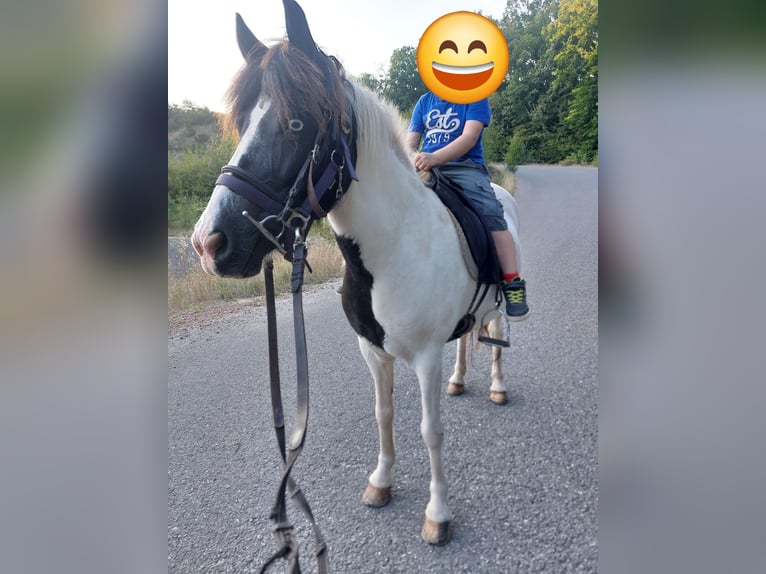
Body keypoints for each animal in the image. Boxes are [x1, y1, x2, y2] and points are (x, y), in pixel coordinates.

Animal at [195, 0, 524, 548]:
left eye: (297, 124)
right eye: (241, 122)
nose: (208, 243)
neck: (392, 249)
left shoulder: (425, 356)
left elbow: (430, 431)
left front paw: (437, 513)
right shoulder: (372, 351)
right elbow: (383, 415)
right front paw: (381, 483)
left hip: (499, 300)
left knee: (496, 331)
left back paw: (498, 387)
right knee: (467, 338)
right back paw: (460, 381)